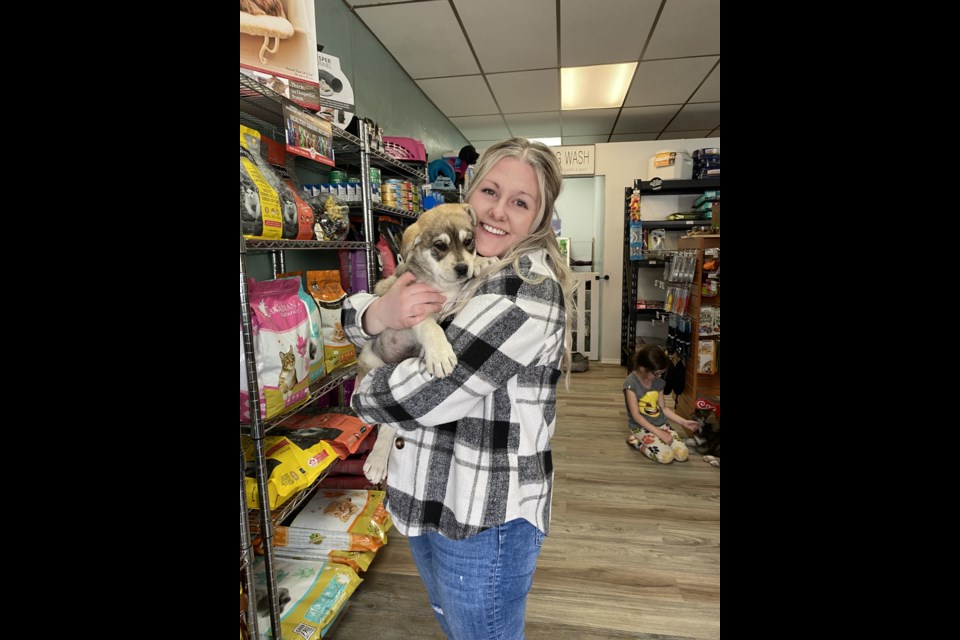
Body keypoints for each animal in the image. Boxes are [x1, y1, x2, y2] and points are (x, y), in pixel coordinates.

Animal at [360, 202, 496, 482]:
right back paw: (377, 461)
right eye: (440, 245)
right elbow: (431, 328)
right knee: (385, 423)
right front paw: (441, 355)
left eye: (468, 242)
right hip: (370, 359)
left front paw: (482, 260)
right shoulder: (415, 308)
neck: (441, 285)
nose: (462, 269)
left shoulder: (454, 301)